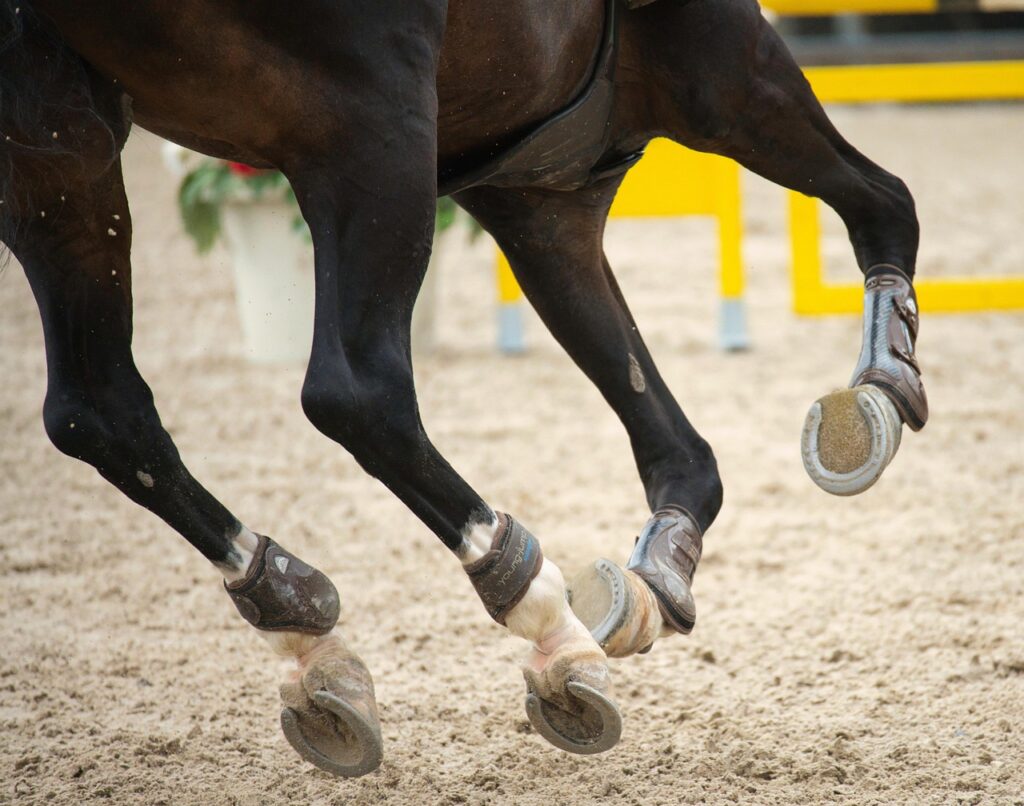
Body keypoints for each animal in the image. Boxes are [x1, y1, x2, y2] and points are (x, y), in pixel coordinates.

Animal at [0, 0, 928, 778]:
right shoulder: (708, 55)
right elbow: (883, 202)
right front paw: (880, 390)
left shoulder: (537, 196)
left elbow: (672, 439)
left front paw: (657, 574)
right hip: (370, 118)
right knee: (355, 393)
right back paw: (534, 611)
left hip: (60, 138)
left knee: (97, 412)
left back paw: (296, 620)